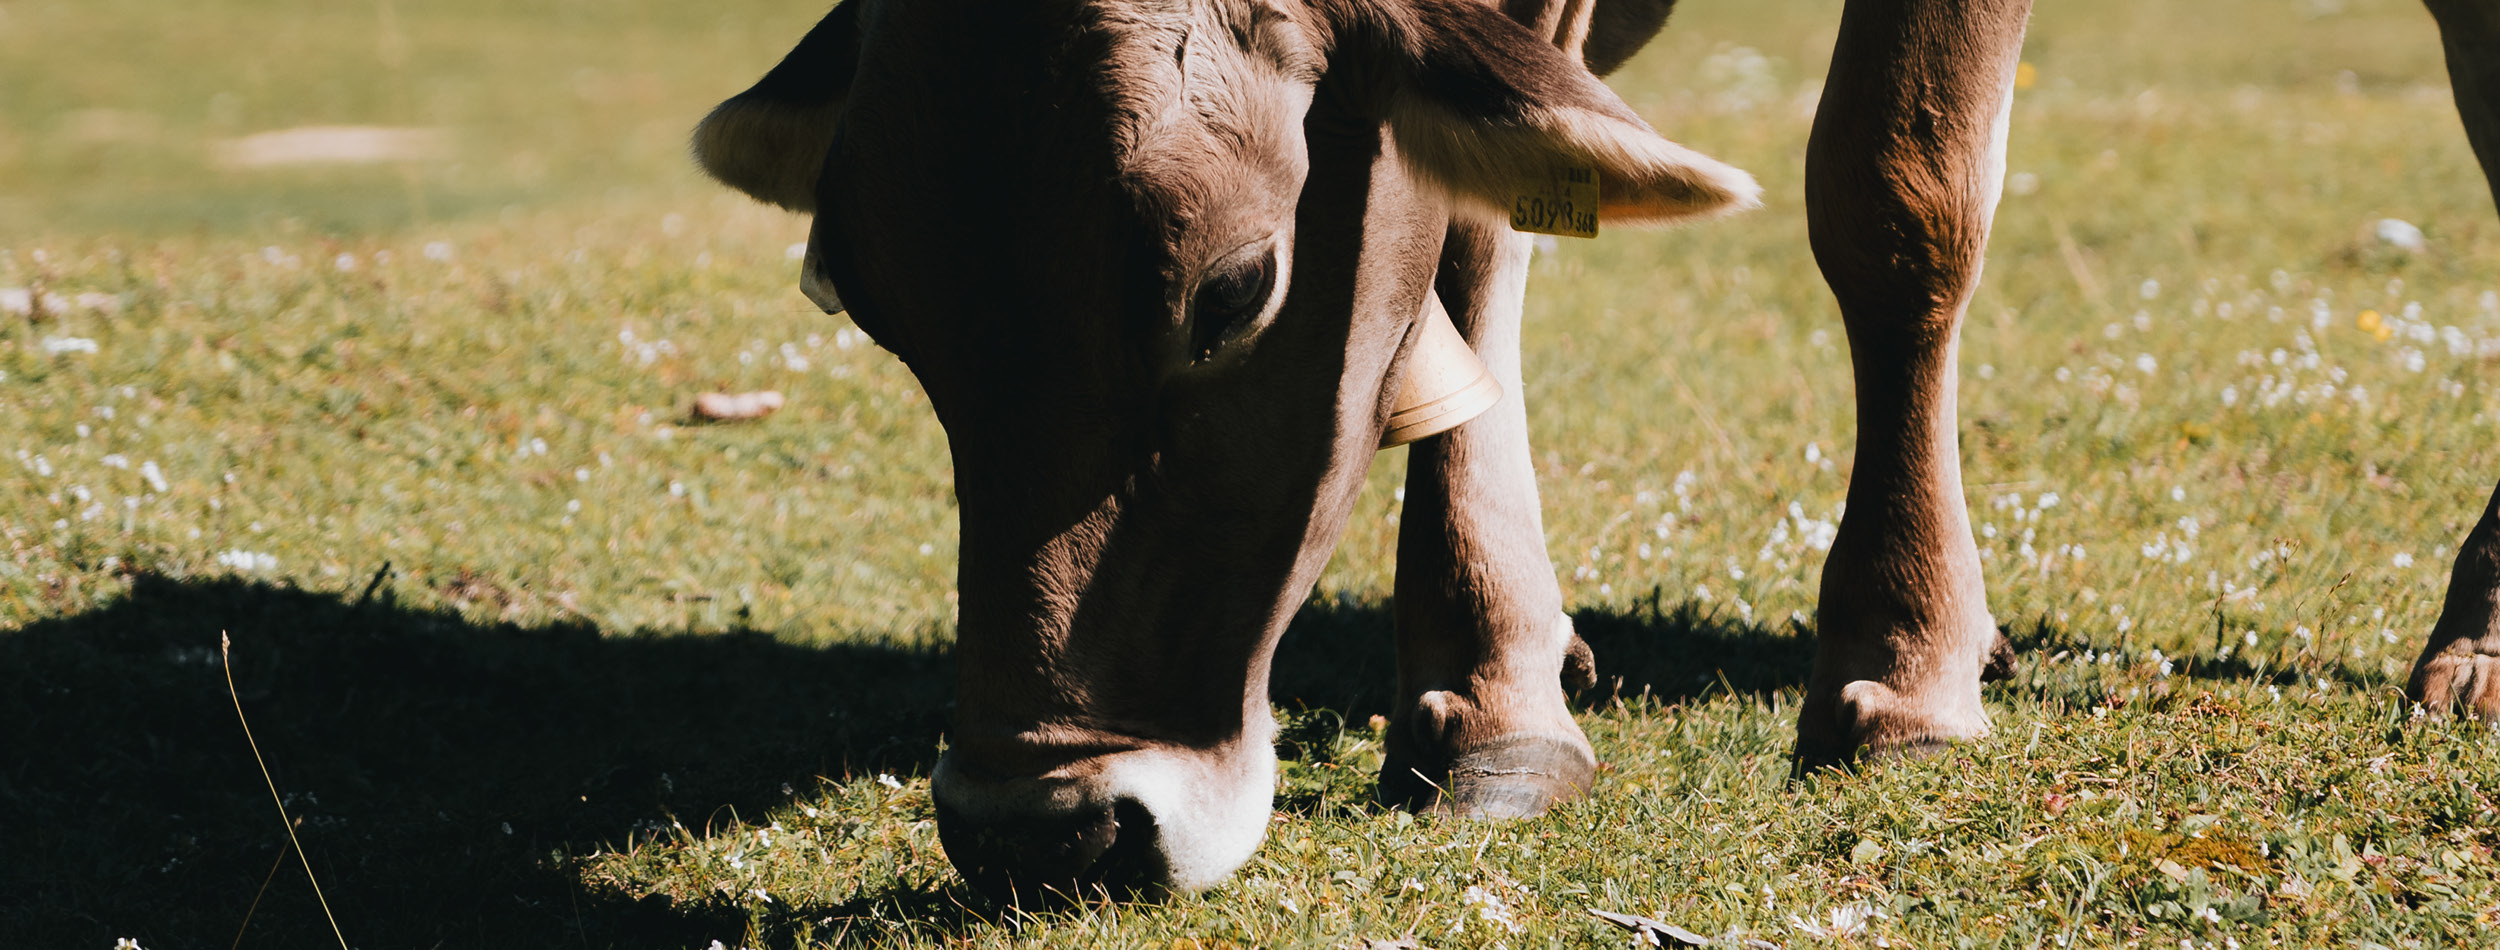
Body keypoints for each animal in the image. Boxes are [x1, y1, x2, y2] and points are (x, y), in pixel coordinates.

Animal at [690, 0, 2500, 903]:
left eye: (1238, 286)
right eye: (861, 298)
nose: (1041, 829)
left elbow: (1897, 179)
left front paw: (1906, 655)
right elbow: (1480, 203)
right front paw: (1494, 683)